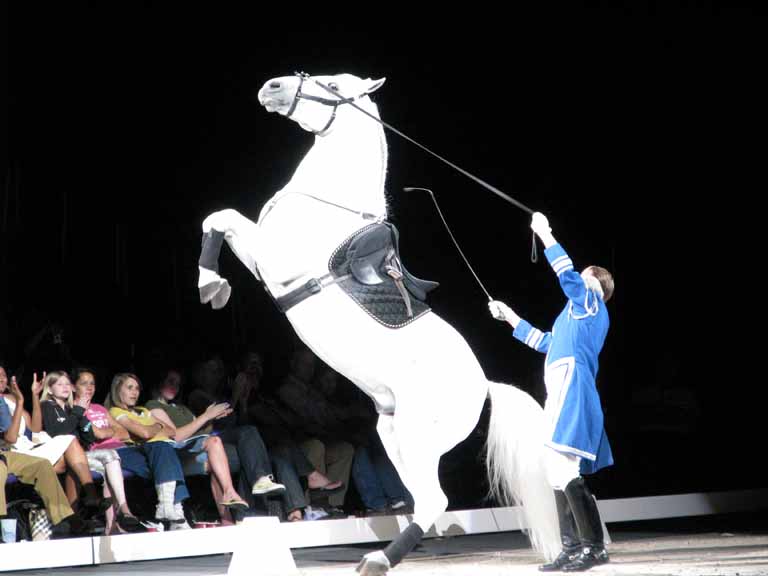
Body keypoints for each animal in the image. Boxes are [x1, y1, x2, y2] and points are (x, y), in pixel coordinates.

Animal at [198, 74, 560, 572]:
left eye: (331, 84)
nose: (272, 87)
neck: (330, 205)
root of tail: (483, 386)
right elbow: (216, 218)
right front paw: (214, 285)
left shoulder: (274, 263)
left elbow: (223, 217)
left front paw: (210, 283)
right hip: (393, 434)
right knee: (427, 499)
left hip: (415, 432)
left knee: (434, 499)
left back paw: (380, 559)